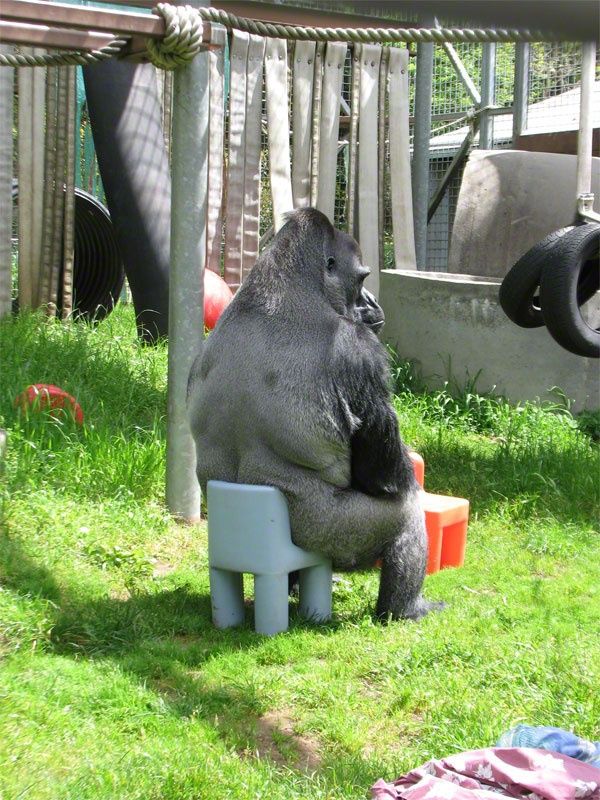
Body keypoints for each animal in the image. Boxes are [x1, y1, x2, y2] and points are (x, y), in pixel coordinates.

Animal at [188, 208, 443, 620]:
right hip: (329, 534)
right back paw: (404, 609)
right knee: (406, 517)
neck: (280, 290)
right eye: (362, 278)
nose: (371, 301)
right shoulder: (360, 349)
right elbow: (386, 476)